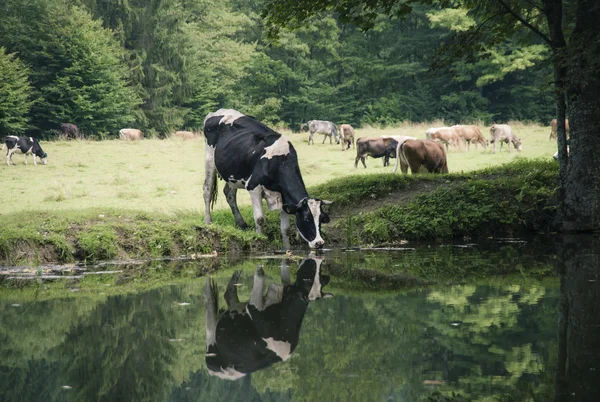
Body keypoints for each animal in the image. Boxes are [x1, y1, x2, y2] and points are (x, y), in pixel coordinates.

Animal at [204, 108, 330, 250]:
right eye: (307, 219)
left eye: (322, 219)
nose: (319, 243)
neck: (280, 161)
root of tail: (219, 111)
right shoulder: (253, 187)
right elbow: (259, 218)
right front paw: (258, 239)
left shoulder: (284, 197)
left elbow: (285, 228)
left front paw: (287, 248)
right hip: (209, 159)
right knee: (207, 190)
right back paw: (208, 221)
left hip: (232, 172)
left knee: (229, 194)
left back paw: (241, 224)